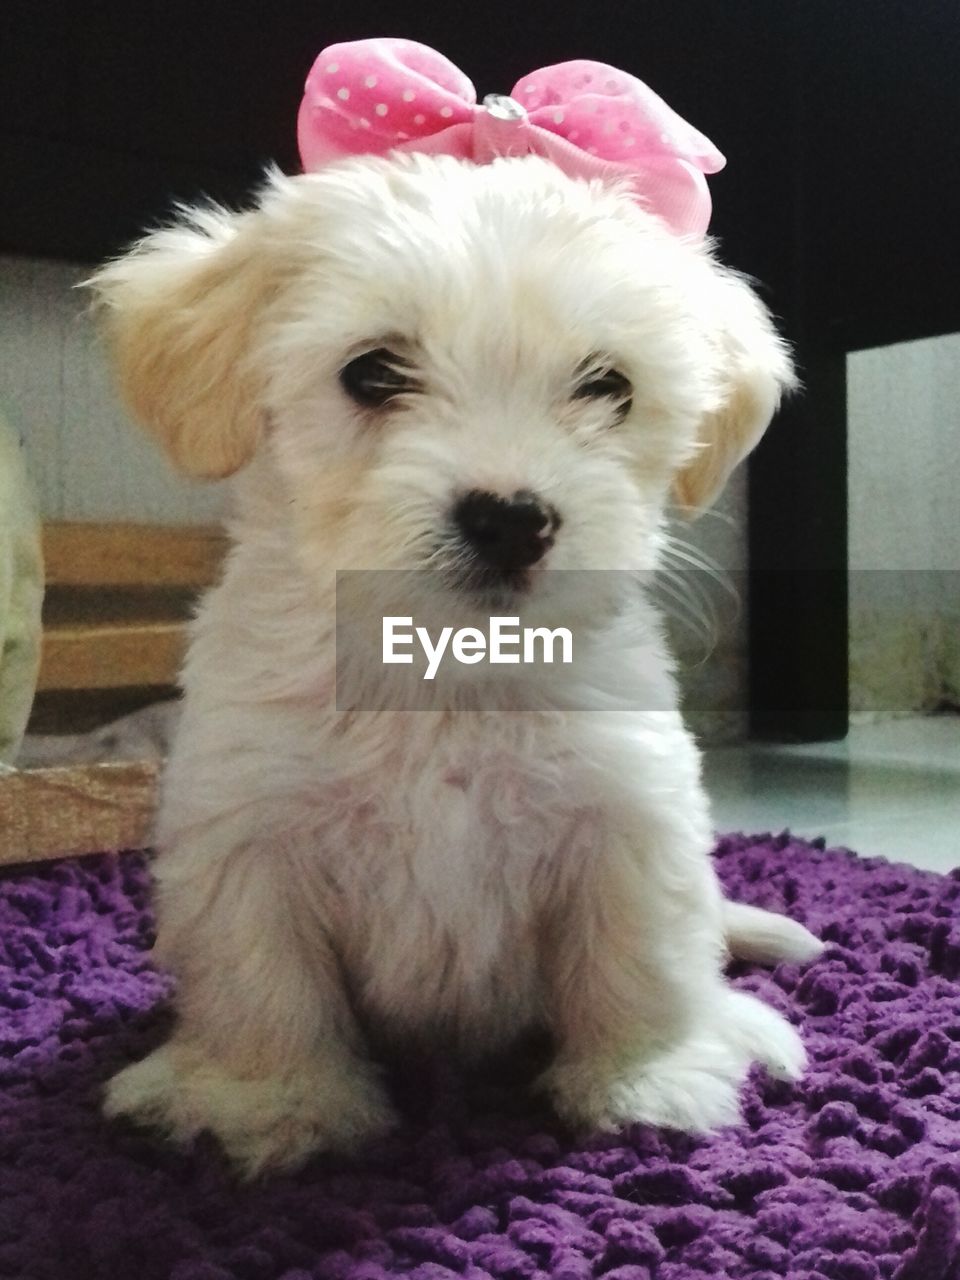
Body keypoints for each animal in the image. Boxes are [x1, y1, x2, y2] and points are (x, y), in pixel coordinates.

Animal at [92, 154, 829, 1172]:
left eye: (609, 386)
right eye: (372, 372)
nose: (513, 518)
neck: (445, 666)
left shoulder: (627, 818)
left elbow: (638, 955)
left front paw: (647, 1081)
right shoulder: (248, 831)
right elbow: (263, 980)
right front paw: (276, 1106)